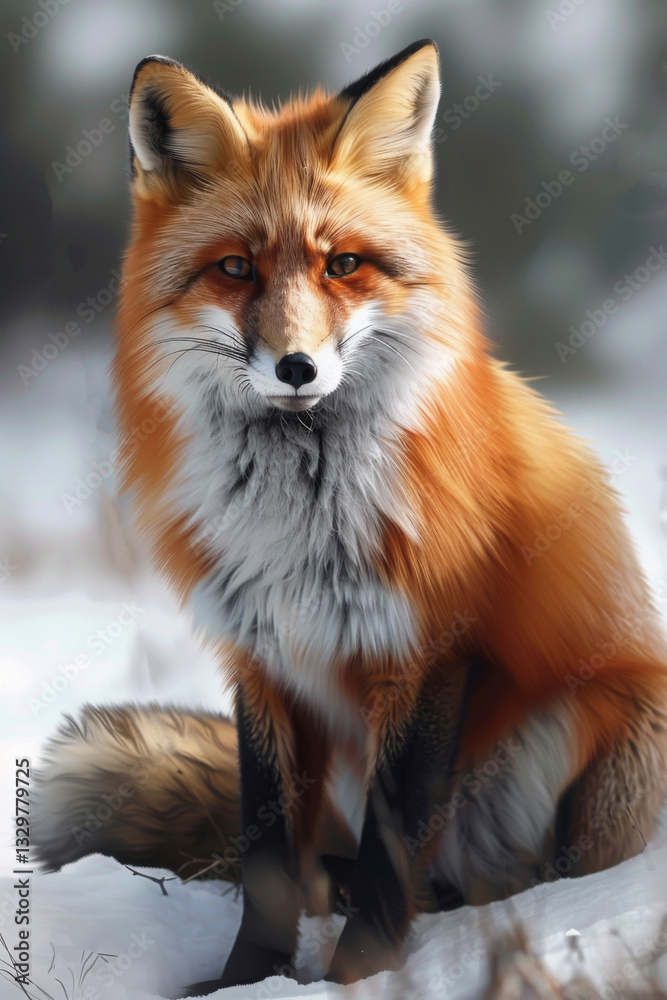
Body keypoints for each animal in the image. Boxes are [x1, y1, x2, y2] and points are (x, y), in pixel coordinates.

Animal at [34, 40, 667, 993]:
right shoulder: (260, 659)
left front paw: (356, 973)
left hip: (598, 727)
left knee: (498, 881)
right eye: (236, 268)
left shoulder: (425, 650)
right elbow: (264, 857)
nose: (295, 366)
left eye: (343, 265)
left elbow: (388, 850)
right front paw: (248, 976)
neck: (298, 529)